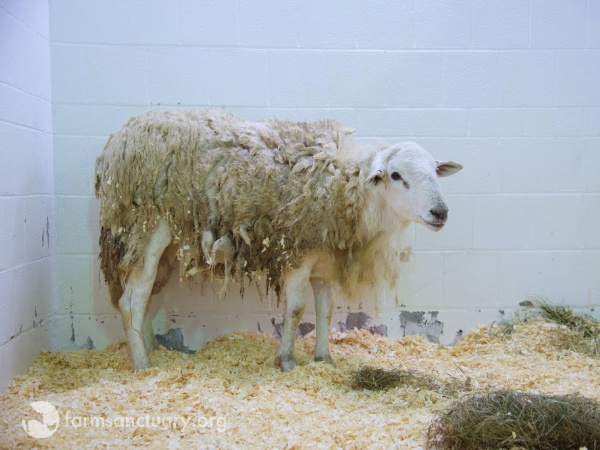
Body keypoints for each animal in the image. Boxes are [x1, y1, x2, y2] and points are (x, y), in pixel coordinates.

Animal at [94, 109, 462, 370]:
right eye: (396, 175)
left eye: (435, 171)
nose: (441, 212)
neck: (347, 189)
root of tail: (116, 141)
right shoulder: (297, 253)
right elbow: (296, 309)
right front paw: (286, 360)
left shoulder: (325, 263)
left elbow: (325, 310)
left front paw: (324, 359)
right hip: (145, 228)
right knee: (131, 301)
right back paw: (143, 364)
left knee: (144, 297)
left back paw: (150, 348)